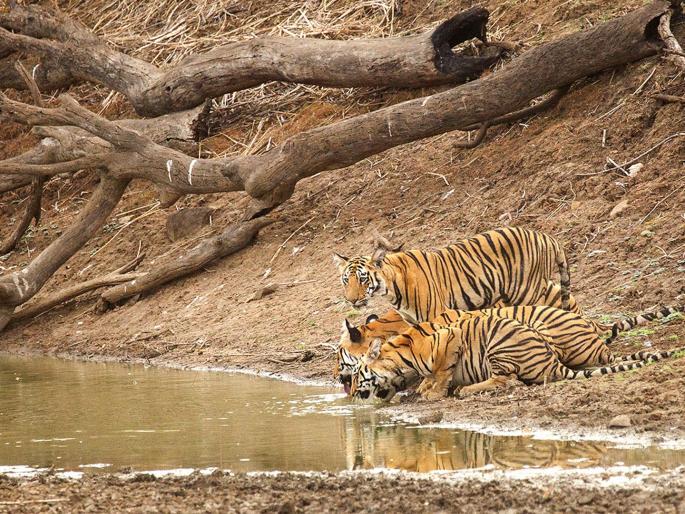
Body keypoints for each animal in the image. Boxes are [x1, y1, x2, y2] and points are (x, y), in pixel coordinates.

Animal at [333, 226, 571, 324]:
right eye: (346, 280)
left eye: (363, 279)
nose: (351, 300)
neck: (391, 289)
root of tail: (547, 237)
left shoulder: (434, 314)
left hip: (526, 291)